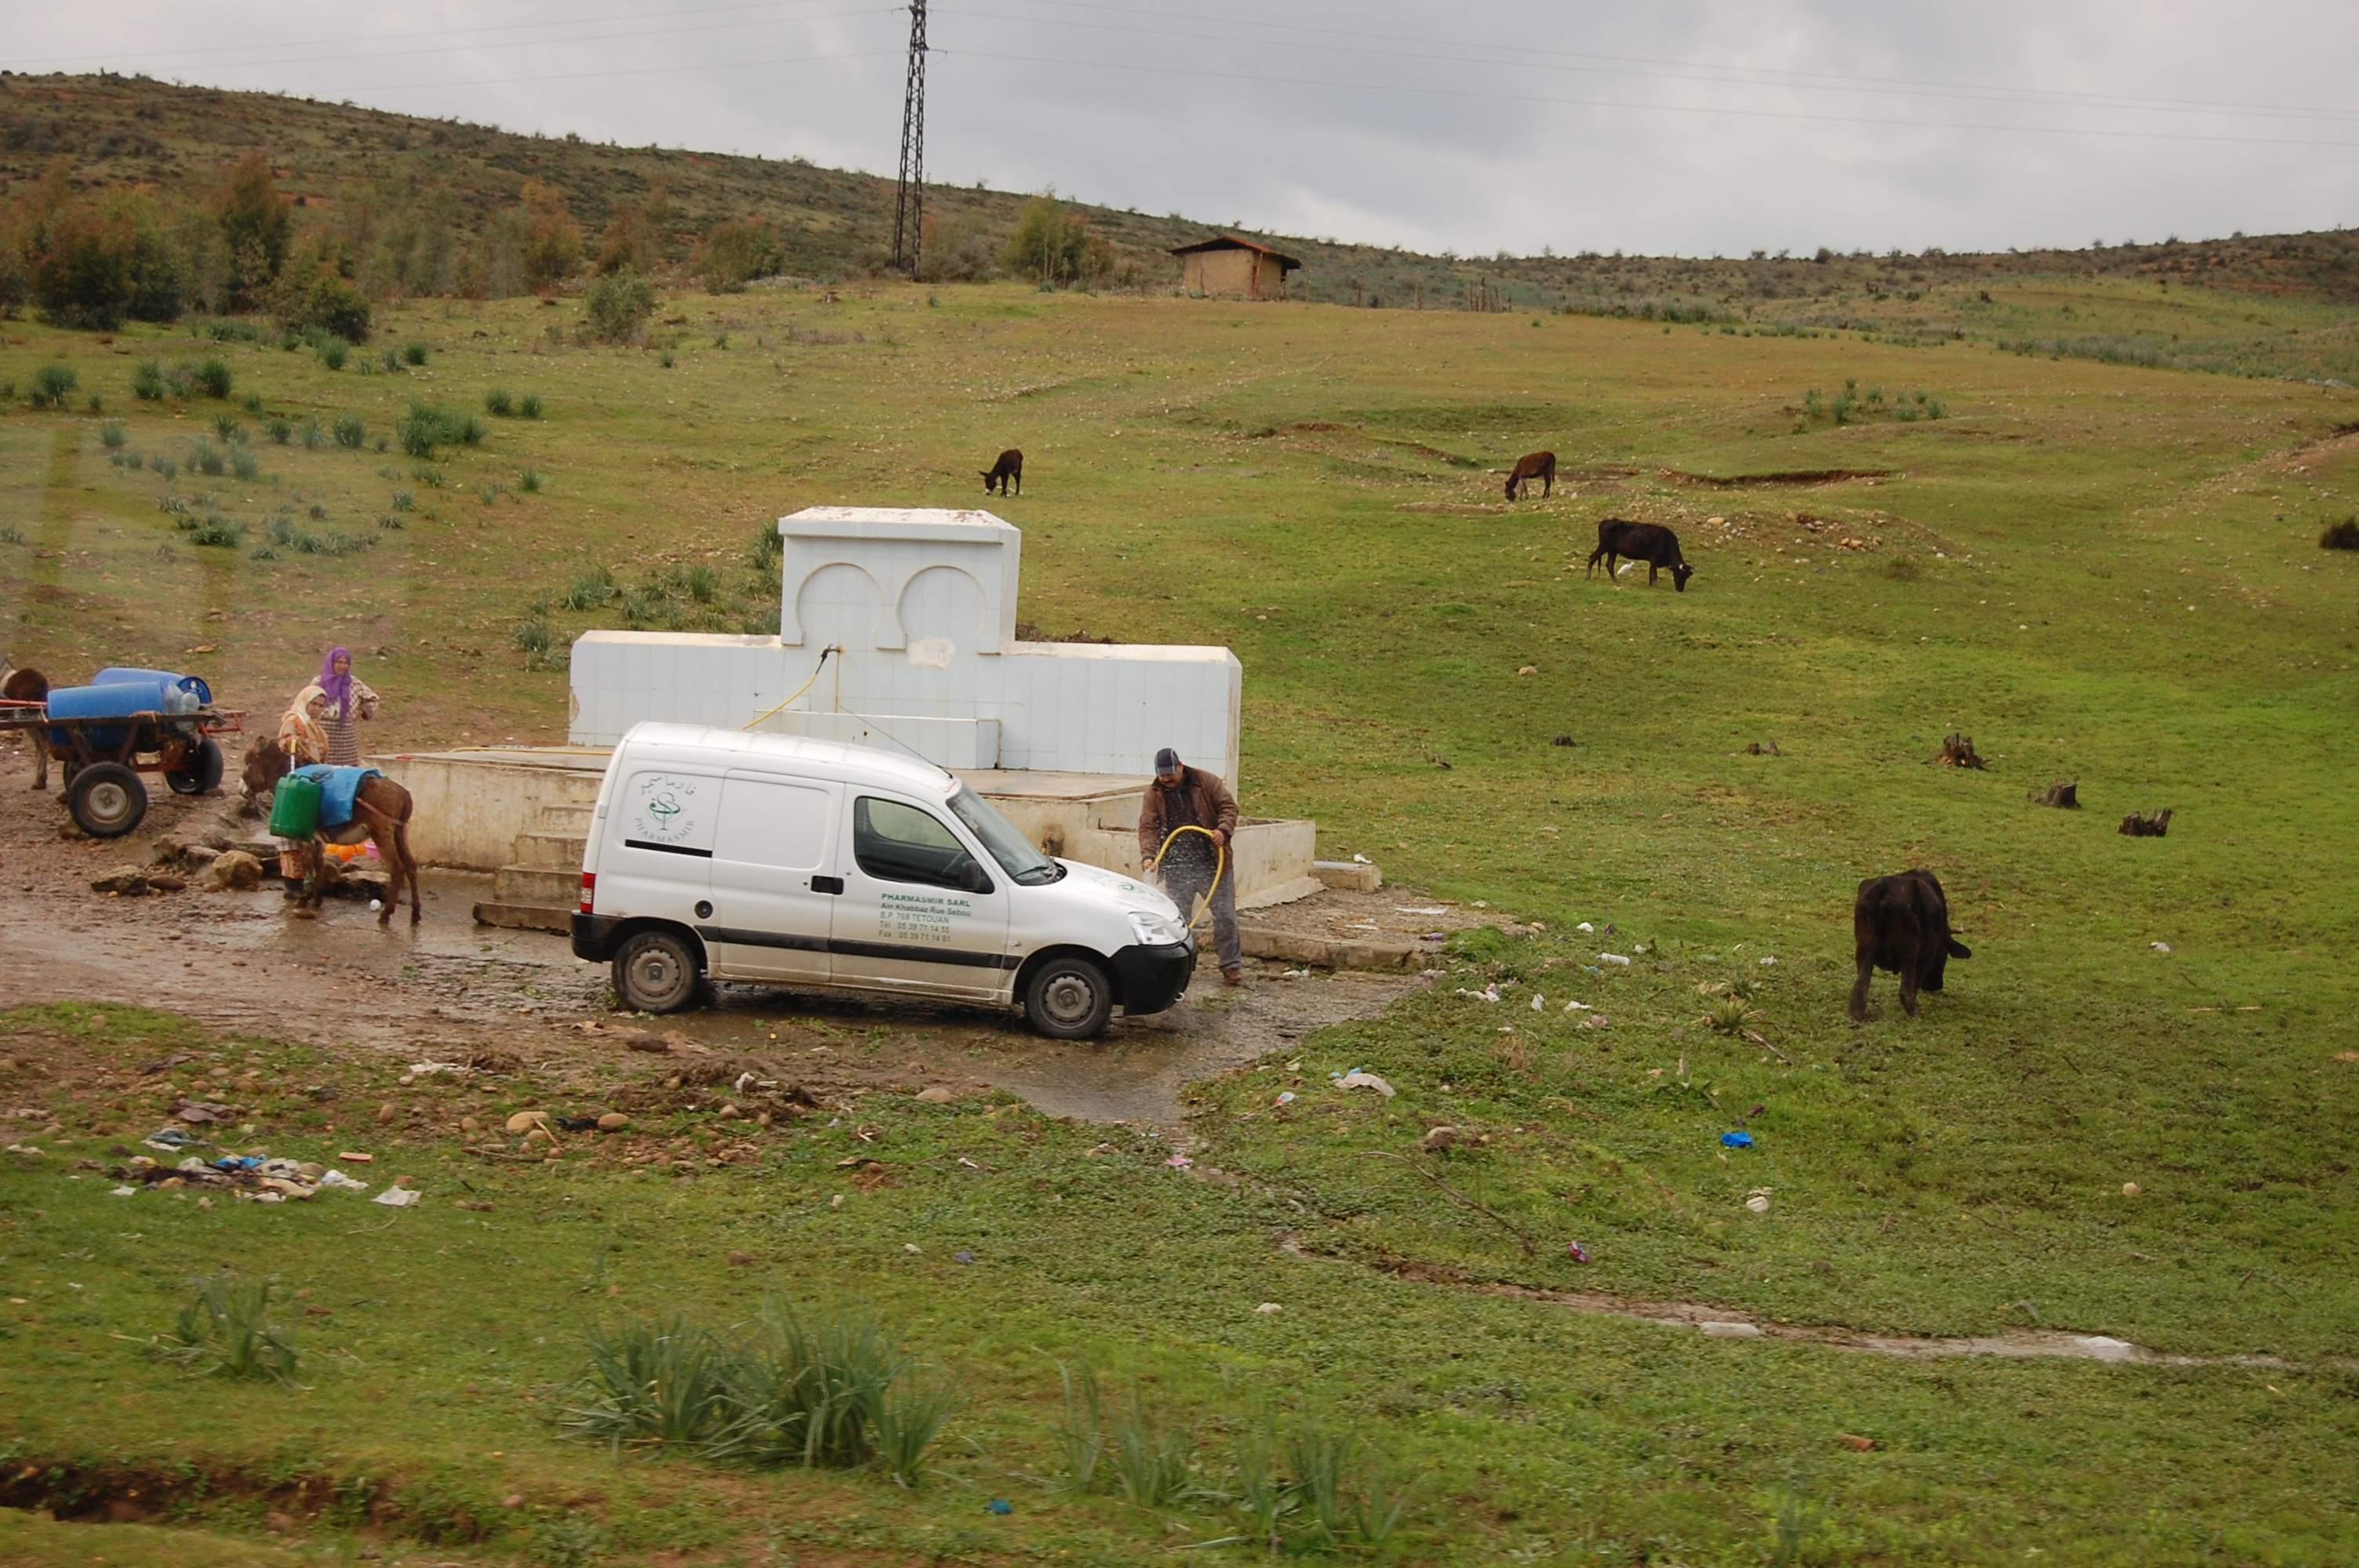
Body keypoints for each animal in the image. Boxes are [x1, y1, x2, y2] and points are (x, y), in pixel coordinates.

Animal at [241, 736, 424, 926]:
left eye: (248, 762)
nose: (243, 792)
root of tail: (403, 793)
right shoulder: (316, 836)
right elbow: (319, 863)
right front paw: (316, 898)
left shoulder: (303, 835)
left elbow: (308, 863)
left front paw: (305, 898)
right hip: (399, 832)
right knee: (410, 865)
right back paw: (415, 914)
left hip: (381, 834)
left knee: (396, 868)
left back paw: (386, 914)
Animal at [1585, 518, 1694, 591]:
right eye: (1680, 574)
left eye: (1687, 576)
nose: (1680, 590)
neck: (1666, 541)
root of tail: (1605, 521)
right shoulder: (1654, 559)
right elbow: (1654, 574)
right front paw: (1656, 586)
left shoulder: (1652, 561)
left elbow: (1650, 573)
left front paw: (1650, 586)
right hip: (1604, 546)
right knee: (1592, 558)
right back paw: (1588, 577)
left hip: (1613, 550)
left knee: (1609, 565)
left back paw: (1616, 581)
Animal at [1848, 869, 1969, 1021]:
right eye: (1945, 954)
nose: (1936, 986)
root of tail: (1882, 886)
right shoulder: (1926, 954)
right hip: (1909, 950)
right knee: (1906, 991)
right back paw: (1914, 1014)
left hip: (1864, 947)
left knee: (1861, 986)